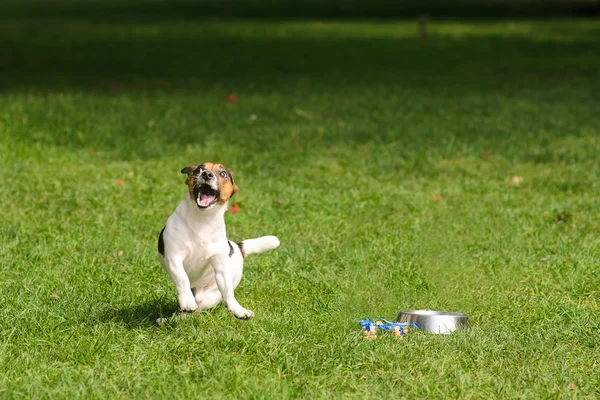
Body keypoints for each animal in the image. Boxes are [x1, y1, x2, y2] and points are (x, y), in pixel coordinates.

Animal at [159, 161, 282, 320]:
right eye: (200, 169)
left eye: (222, 174)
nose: (206, 174)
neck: (203, 221)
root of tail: (237, 246)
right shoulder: (174, 258)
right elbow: (182, 278)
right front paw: (186, 301)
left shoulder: (221, 269)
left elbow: (228, 293)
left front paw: (239, 310)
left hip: (209, 295)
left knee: (199, 307)